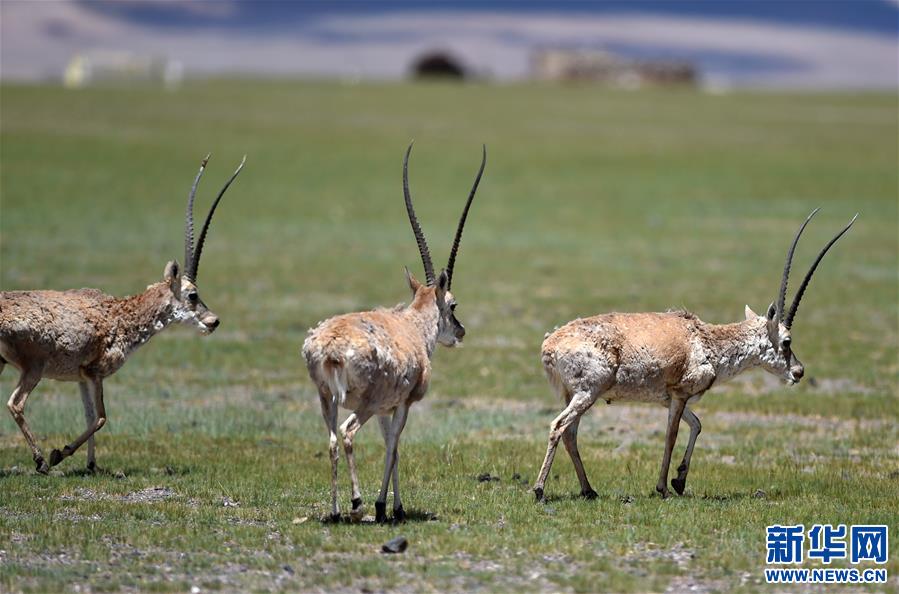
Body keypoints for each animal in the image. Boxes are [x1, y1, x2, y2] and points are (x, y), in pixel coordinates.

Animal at [0, 153, 246, 472]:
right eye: (193, 295)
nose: (213, 321)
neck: (120, 313)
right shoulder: (95, 373)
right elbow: (102, 417)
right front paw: (59, 454)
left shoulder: (81, 378)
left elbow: (89, 416)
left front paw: (92, 466)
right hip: (34, 368)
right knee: (15, 404)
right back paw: (41, 460)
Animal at [302, 143, 486, 524]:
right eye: (453, 303)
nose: (460, 331)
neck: (413, 326)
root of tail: (330, 348)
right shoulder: (401, 405)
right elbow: (395, 447)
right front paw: (388, 506)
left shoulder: (387, 411)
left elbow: (392, 447)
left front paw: (390, 504)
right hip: (364, 404)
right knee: (347, 433)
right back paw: (357, 504)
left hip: (327, 399)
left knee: (331, 440)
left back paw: (336, 511)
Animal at [536, 208, 856, 500]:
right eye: (787, 341)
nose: (799, 372)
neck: (705, 339)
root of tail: (550, 344)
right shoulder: (679, 395)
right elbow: (671, 436)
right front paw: (664, 487)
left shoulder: (670, 398)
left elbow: (697, 425)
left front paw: (679, 481)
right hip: (588, 392)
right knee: (559, 426)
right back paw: (540, 490)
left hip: (576, 395)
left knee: (570, 434)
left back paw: (589, 490)